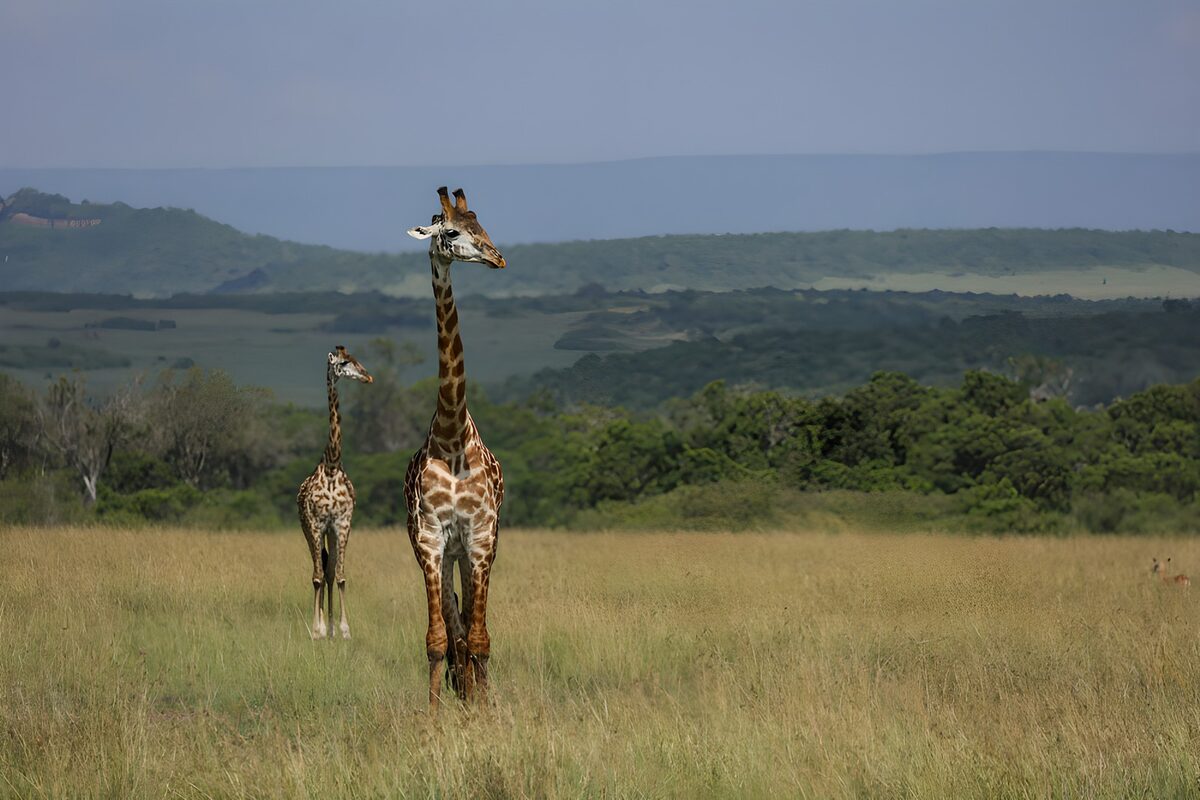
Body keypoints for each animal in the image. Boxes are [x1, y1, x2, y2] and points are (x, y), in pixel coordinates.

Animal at [297, 345, 373, 639]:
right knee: (318, 571)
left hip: (330, 531)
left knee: (329, 571)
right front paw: (316, 630)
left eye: (356, 360)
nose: (367, 377)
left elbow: (338, 576)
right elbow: (317, 576)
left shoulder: (342, 522)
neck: (331, 465)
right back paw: (320, 628)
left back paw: (330, 629)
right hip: (310, 529)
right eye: (342, 363)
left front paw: (342, 629)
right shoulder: (316, 523)